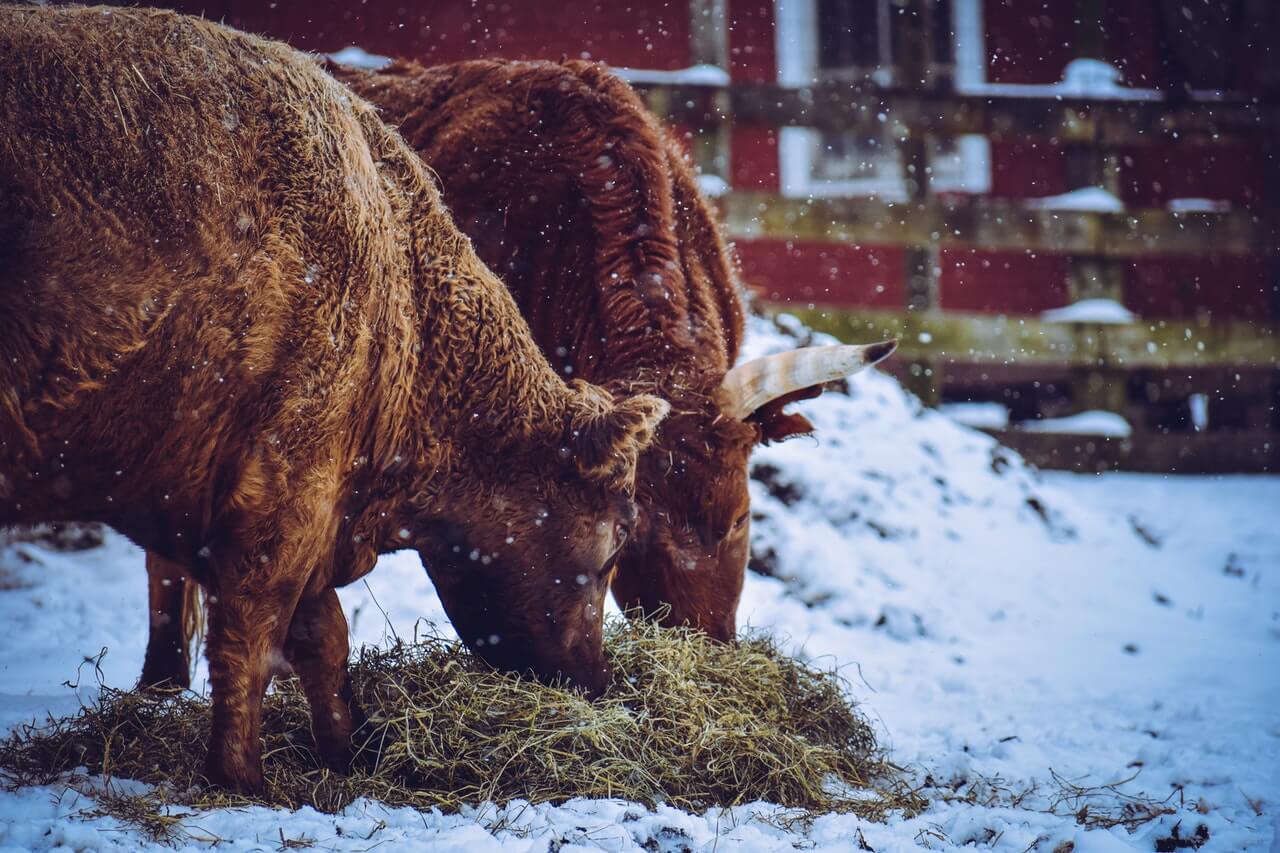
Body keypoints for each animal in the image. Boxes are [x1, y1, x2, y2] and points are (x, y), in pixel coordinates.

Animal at [2, 4, 670, 788]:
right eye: (619, 533)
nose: (597, 684)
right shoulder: (286, 487)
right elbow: (253, 639)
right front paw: (242, 779)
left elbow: (324, 636)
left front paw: (349, 753)